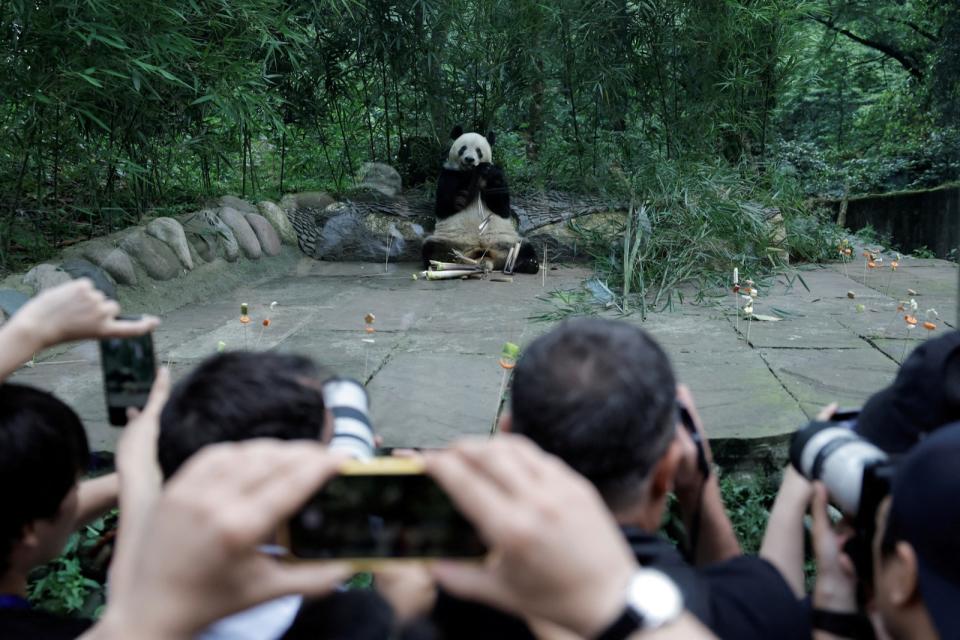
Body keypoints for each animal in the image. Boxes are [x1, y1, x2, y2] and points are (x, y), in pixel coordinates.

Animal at [420, 126, 540, 274]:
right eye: (463, 148)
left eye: (478, 151)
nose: (469, 159)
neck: (471, 172)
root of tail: (484, 257)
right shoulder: (448, 175)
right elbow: (445, 206)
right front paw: (464, 192)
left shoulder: (498, 177)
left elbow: (502, 207)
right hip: (450, 241)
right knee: (431, 248)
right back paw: (438, 264)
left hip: (506, 241)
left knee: (524, 246)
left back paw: (530, 264)